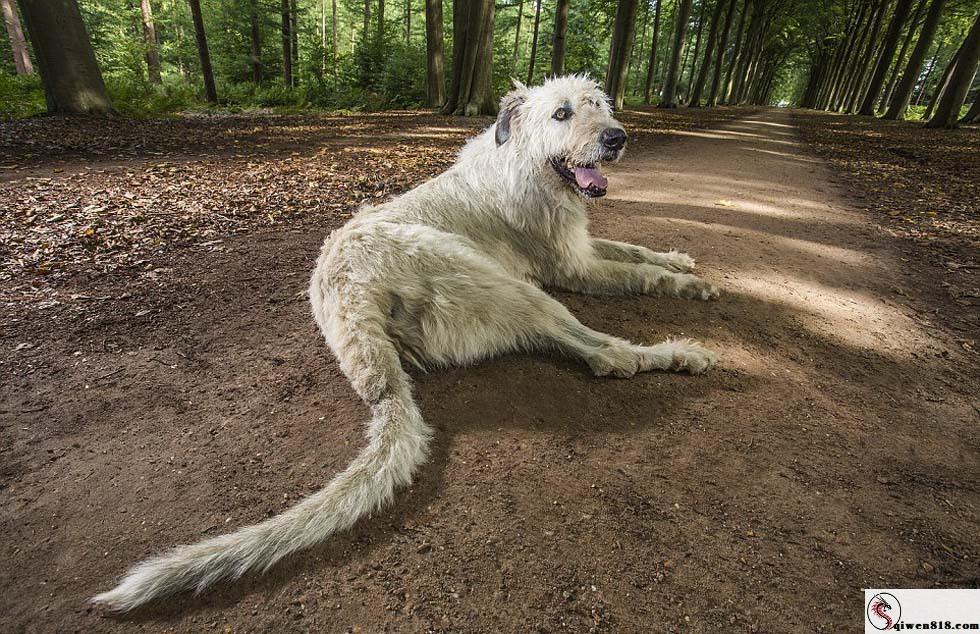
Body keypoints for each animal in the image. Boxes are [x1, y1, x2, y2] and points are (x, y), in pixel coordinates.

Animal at [94, 73, 720, 608]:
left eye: (598, 105)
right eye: (561, 113)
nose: (617, 138)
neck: (523, 162)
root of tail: (349, 305)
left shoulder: (582, 247)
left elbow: (633, 251)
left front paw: (679, 259)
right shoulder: (572, 268)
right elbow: (636, 273)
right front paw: (691, 285)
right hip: (504, 283)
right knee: (604, 354)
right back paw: (679, 353)